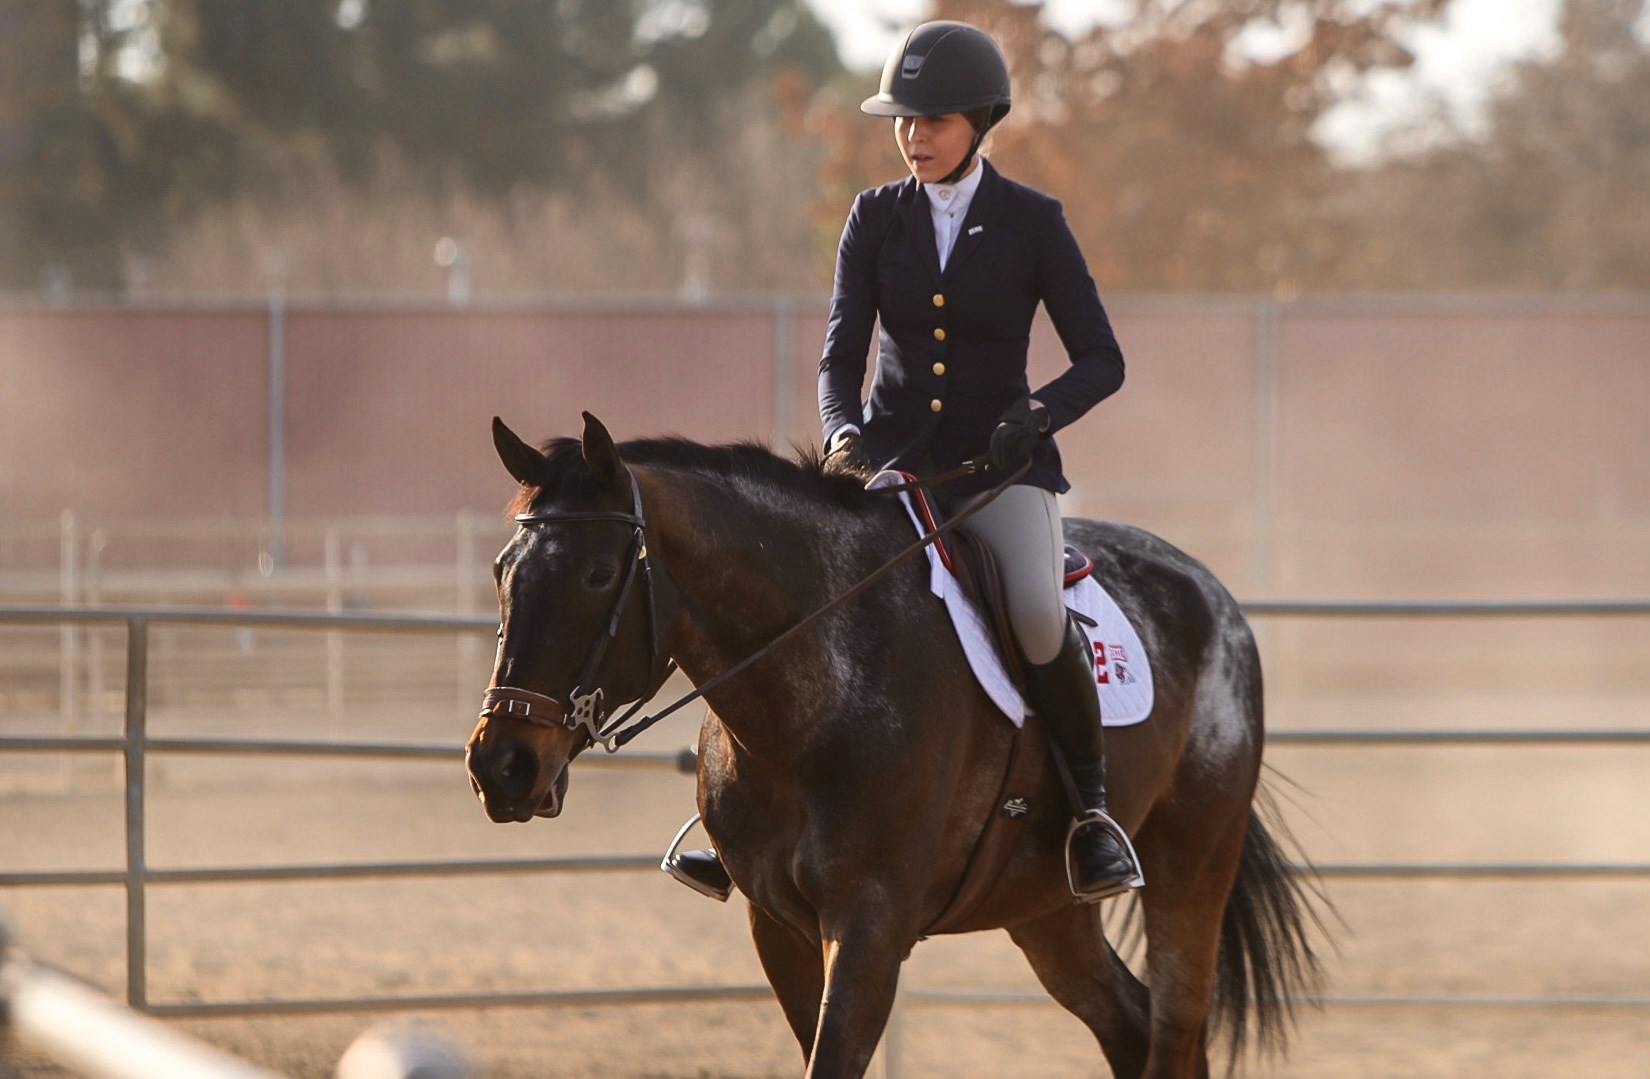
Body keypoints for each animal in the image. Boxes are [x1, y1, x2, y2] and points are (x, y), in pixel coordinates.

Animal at [465, 414, 1326, 1079]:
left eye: (597, 573)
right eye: (503, 570)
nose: (500, 765)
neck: (809, 699)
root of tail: (1213, 594)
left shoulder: (871, 926)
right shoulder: (778, 926)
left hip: (1191, 866)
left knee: (1174, 1032)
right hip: (1046, 907)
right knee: (1130, 1025)